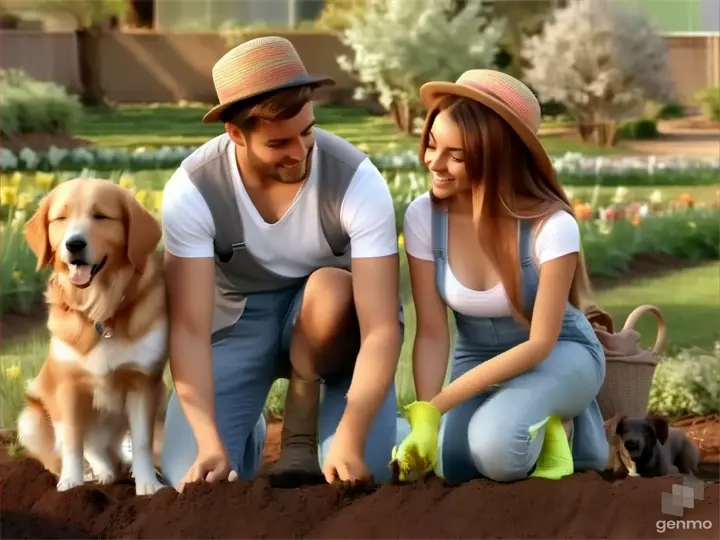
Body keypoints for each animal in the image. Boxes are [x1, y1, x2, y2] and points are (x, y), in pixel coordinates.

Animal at [17, 175, 169, 496]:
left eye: (101, 216)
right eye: (60, 218)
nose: (73, 244)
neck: (100, 307)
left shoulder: (143, 382)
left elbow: (142, 441)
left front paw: (148, 484)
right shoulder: (69, 387)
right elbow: (73, 442)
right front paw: (72, 485)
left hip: (162, 394)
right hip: (30, 419)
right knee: (77, 450)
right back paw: (93, 473)